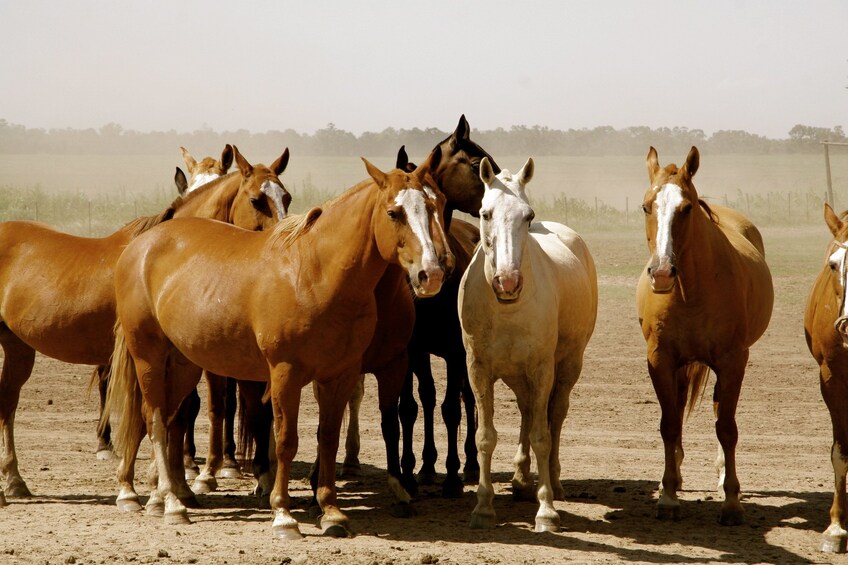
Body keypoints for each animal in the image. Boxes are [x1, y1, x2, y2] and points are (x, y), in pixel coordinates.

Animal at [109, 154, 454, 536]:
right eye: (394, 213)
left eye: (435, 205)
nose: (432, 273)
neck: (315, 273)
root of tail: (140, 246)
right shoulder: (285, 374)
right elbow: (286, 440)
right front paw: (283, 514)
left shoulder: (339, 375)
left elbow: (328, 439)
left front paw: (331, 511)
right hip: (149, 358)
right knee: (155, 420)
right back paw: (170, 502)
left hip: (183, 365)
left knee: (169, 420)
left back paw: (158, 496)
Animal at [460, 156, 600, 532]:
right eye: (485, 213)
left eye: (528, 215)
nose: (507, 282)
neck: (507, 308)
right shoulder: (479, 369)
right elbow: (485, 436)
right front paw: (483, 507)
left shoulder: (541, 369)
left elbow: (542, 434)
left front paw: (546, 511)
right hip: (517, 375)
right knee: (526, 410)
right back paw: (522, 480)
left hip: (567, 367)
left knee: (555, 415)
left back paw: (554, 481)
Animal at [636, 147, 776, 524]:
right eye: (646, 206)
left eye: (686, 208)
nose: (662, 273)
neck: (692, 292)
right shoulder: (660, 359)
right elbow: (669, 424)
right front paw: (667, 496)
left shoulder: (732, 361)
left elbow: (726, 427)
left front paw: (731, 502)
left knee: (718, 414)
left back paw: (722, 474)